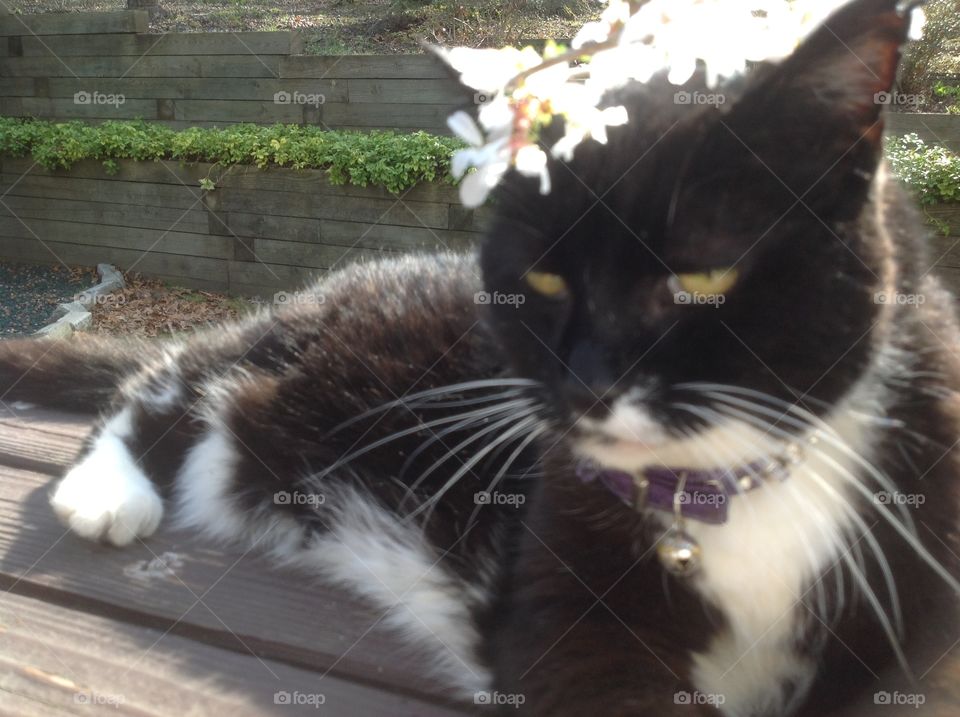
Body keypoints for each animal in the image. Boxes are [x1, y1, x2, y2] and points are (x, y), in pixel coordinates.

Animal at [1, 2, 960, 712]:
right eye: (543, 274)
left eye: (703, 275)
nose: (586, 385)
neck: (727, 488)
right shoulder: (559, 594)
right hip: (283, 347)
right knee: (166, 377)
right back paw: (106, 493)